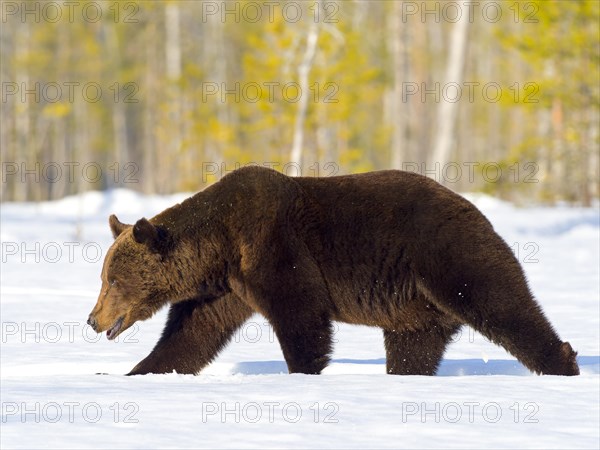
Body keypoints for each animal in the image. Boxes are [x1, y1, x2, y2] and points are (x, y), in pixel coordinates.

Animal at [86, 165, 580, 376]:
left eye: (112, 280)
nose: (92, 320)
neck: (218, 247)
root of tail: (475, 209)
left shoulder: (272, 248)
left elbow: (301, 315)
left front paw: (305, 371)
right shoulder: (225, 287)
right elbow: (190, 336)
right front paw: (140, 373)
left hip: (448, 255)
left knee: (503, 304)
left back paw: (563, 363)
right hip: (413, 307)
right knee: (414, 347)